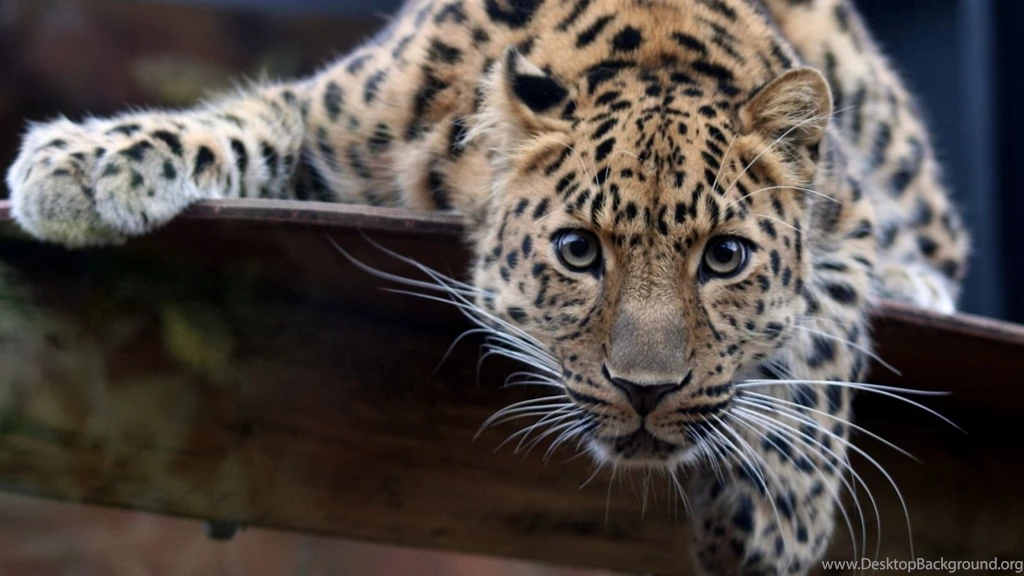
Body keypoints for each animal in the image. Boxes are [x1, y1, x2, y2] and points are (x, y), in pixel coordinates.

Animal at [4, 0, 969, 574]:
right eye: (578, 251)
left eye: (725, 258)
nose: (646, 391)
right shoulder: (332, 116)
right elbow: (238, 123)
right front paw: (82, 164)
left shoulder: (847, 221)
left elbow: (820, 348)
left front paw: (777, 522)